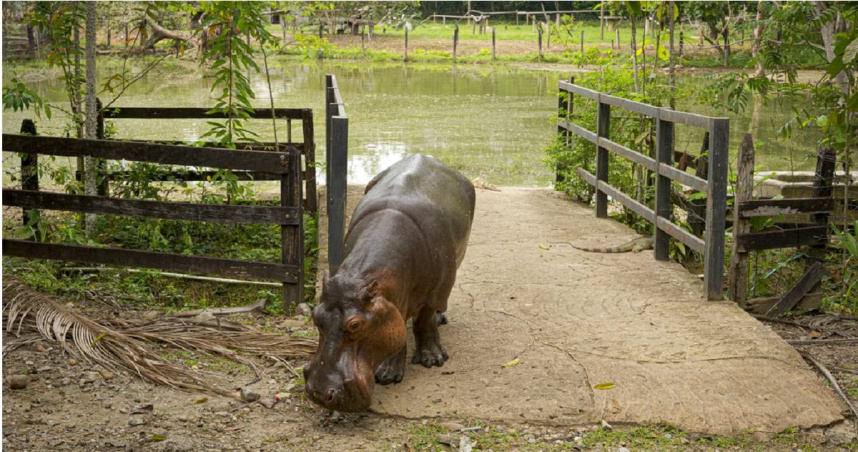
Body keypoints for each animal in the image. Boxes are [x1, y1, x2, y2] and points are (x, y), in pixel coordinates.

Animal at [304, 154, 475, 412]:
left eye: (355, 325)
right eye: (316, 316)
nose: (319, 393)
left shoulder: (434, 291)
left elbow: (423, 322)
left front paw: (432, 361)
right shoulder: (393, 301)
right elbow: (398, 328)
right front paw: (388, 374)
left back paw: (439, 319)